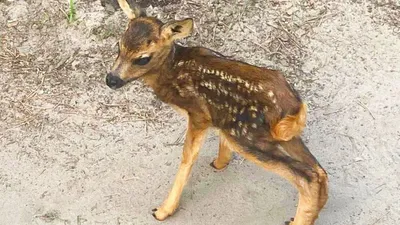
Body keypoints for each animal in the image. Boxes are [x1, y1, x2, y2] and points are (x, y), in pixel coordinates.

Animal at [105, 0, 328, 224]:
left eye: (142, 58)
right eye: (118, 45)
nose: (111, 80)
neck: (172, 72)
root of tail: (296, 107)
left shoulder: (199, 114)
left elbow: (187, 157)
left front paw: (163, 210)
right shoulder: (220, 118)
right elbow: (219, 142)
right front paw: (220, 163)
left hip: (247, 136)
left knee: (308, 176)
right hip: (281, 136)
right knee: (319, 170)